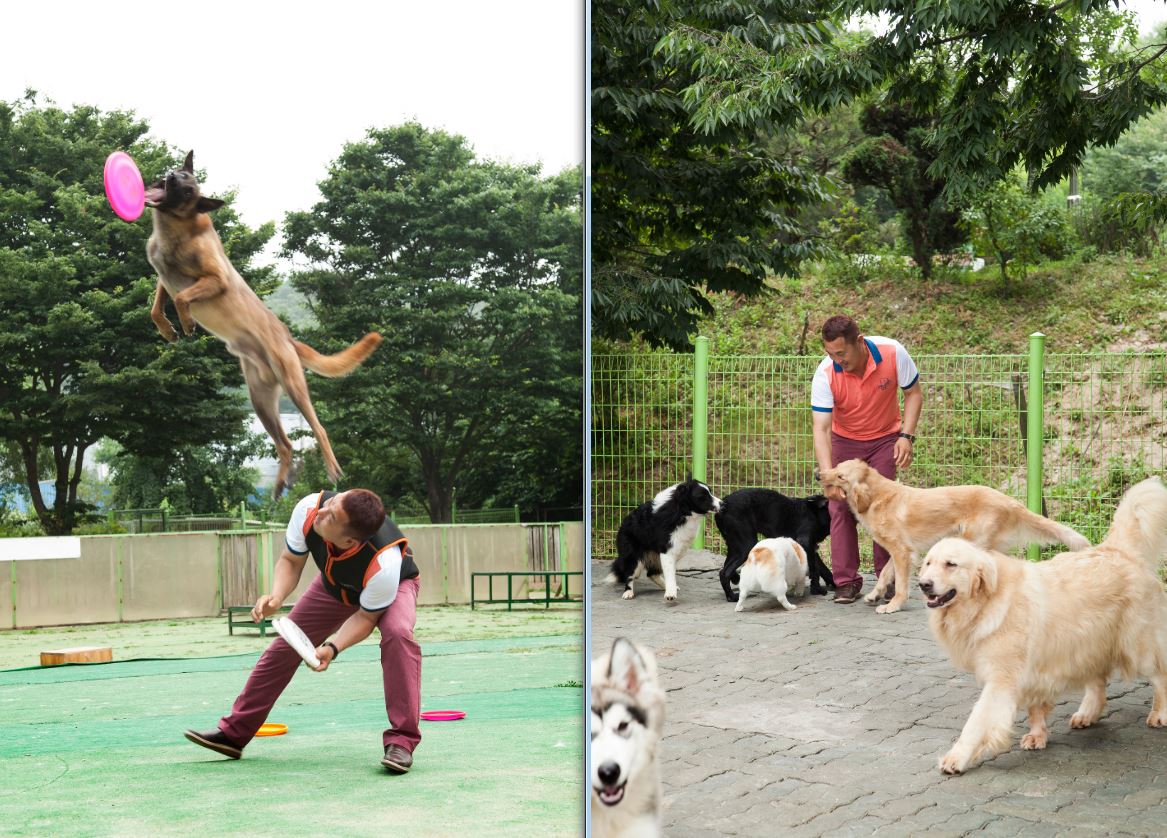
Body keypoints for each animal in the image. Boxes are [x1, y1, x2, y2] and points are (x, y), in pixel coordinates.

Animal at [816, 462, 1087, 611]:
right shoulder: (903, 550)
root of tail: (1009, 501)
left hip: (974, 545)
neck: (876, 496)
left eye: (841, 476)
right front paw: (875, 595)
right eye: (836, 467)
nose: (818, 474)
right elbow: (884, 574)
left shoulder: (902, 552)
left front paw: (893, 605)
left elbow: (900, 584)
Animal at [914, 476, 1167, 779]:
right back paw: (1088, 713)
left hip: (1137, 644)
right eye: (928, 563)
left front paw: (957, 757)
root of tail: (1117, 550)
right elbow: (1036, 705)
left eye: (951, 564)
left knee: (1160, 675)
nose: (923, 584)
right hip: (1089, 643)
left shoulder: (1001, 679)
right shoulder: (1034, 668)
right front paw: (1037, 735)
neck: (988, 602)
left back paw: (1159, 714)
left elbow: (976, 722)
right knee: (1097, 681)